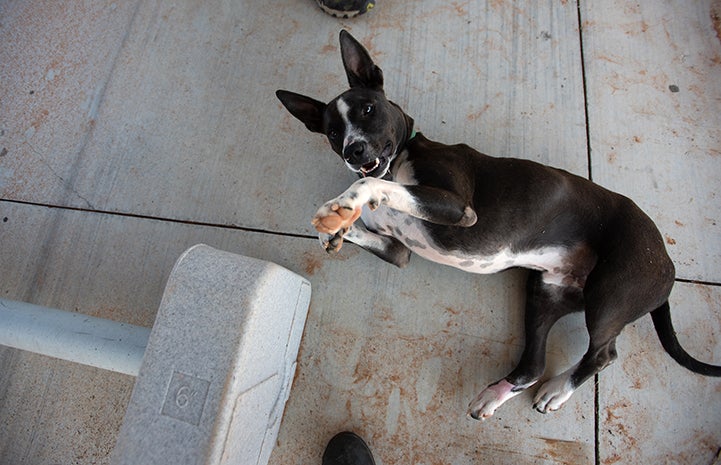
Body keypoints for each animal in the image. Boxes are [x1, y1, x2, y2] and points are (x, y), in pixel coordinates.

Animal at [274, 30, 716, 418]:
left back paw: (557, 390)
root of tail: (667, 261)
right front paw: (334, 229)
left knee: (603, 353)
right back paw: (497, 394)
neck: (400, 158)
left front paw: (343, 204)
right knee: (534, 364)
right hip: (545, 292)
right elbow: (363, 226)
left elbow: (367, 184)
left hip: (611, 294)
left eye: (368, 109)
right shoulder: (400, 251)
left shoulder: (460, 211)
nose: (354, 149)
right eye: (333, 132)